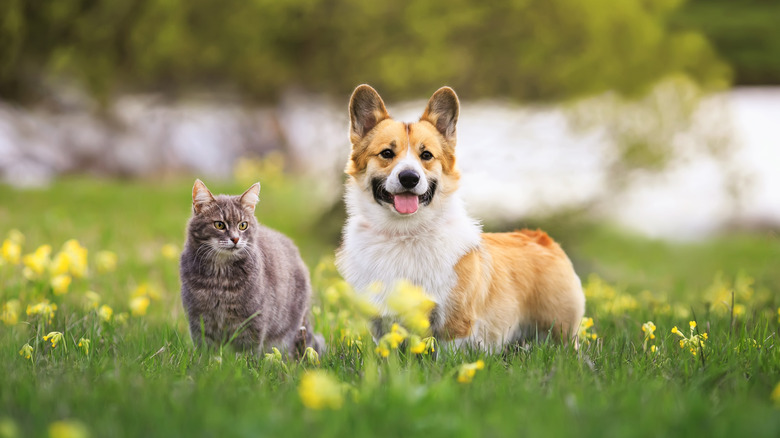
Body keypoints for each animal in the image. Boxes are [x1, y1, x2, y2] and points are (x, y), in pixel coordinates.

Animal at [178, 180, 322, 354]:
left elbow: (246, 350)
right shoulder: (199, 317)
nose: (235, 239)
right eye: (219, 225)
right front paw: (208, 360)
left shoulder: (252, 319)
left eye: (243, 225)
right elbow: (206, 347)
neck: (220, 277)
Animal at [336, 84, 584, 350]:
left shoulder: (454, 324)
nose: (409, 178)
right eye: (386, 153)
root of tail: (542, 238)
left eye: (426, 155)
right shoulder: (381, 324)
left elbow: (447, 353)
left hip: (560, 331)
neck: (404, 233)